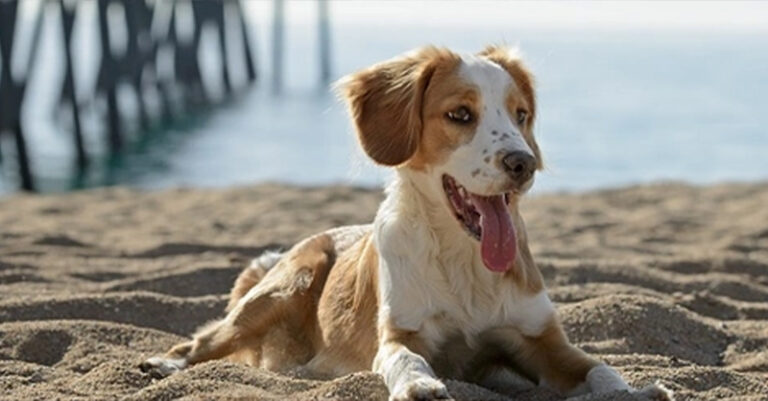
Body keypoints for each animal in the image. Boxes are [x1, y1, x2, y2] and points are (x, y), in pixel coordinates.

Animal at [140, 45, 672, 398]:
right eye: (460, 114)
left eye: (521, 115)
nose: (523, 163)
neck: (463, 261)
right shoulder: (401, 333)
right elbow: (404, 357)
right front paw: (420, 383)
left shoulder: (540, 342)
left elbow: (600, 368)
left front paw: (634, 390)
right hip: (288, 284)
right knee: (203, 339)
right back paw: (163, 364)